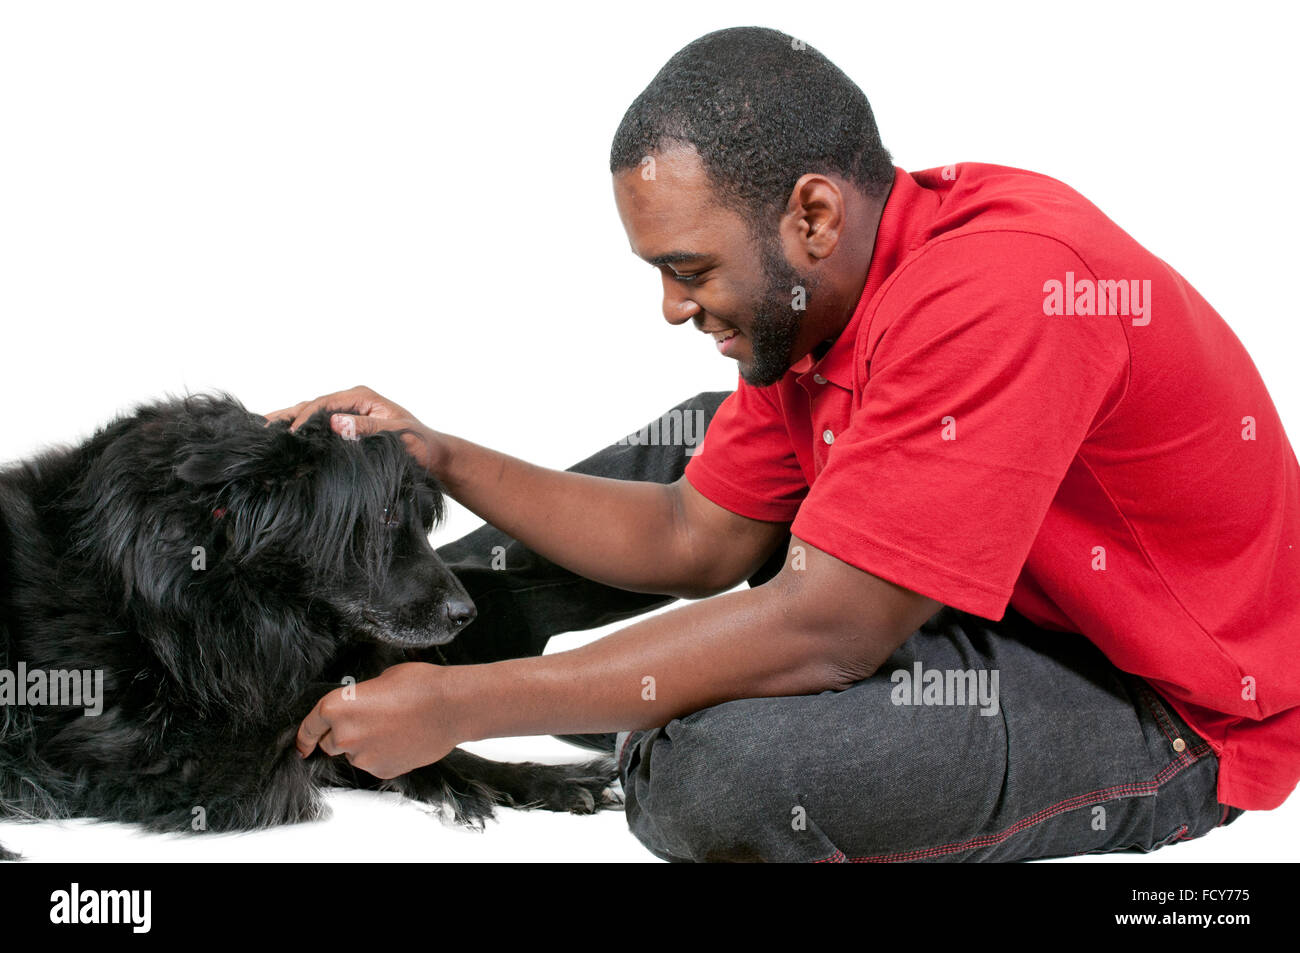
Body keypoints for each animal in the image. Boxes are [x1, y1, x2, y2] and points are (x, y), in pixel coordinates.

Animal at [0, 390, 618, 858]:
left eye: (422, 519)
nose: (467, 615)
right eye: (383, 517)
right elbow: (314, 706)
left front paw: (544, 779)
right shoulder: (154, 760)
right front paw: (460, 787)